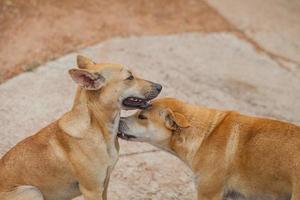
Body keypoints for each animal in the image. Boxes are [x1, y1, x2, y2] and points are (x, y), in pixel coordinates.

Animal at [0, 55, 162, 200]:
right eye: (129, 78)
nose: (160, 86)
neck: (98, 128)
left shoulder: (104, 185)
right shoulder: (92, 191)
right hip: (32, 191)